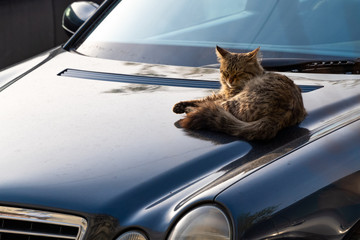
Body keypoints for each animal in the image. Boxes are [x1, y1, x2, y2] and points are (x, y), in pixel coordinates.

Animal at [172, 46, 306, 141]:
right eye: (226, 72)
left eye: (239, 73)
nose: (230, 80)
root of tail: (278, 116)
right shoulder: (221, 95)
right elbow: (201, 99)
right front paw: (178, 106)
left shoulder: (225, 97)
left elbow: (204, 101)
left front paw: (185, 107)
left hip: (235, 102)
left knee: (212, 108)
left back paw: (190, 110)